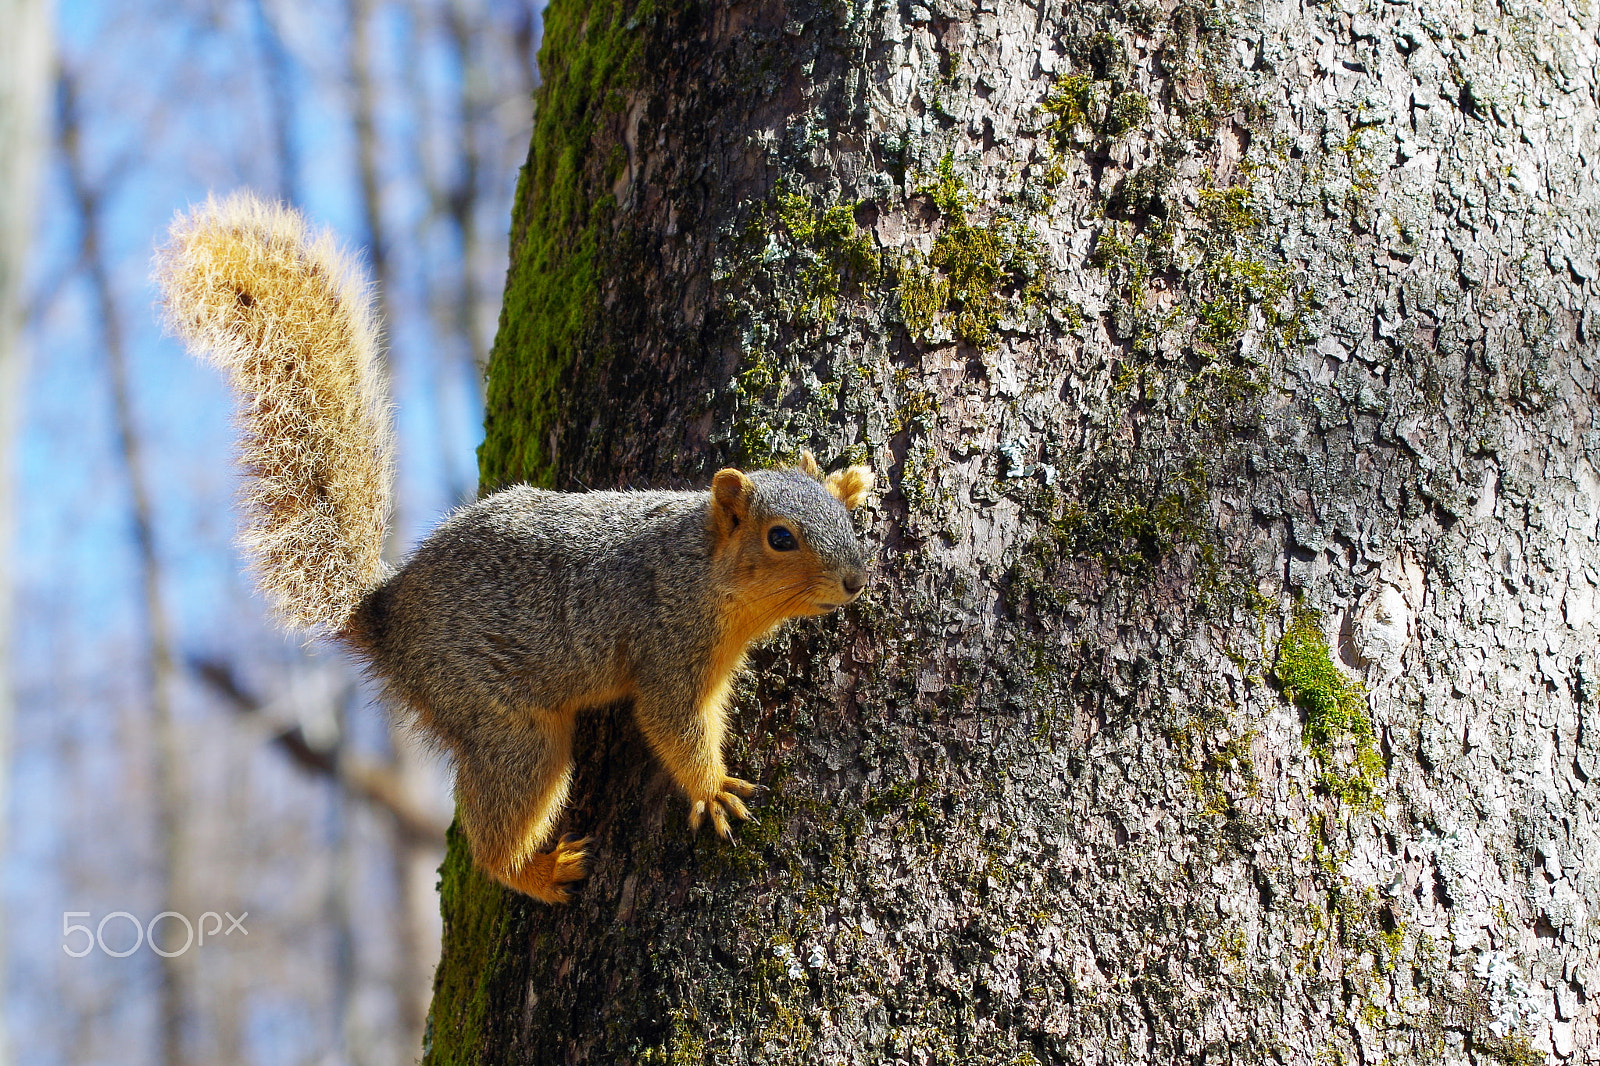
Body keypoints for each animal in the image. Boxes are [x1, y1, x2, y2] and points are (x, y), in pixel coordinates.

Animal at [152, 188, 876, 896]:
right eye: (780, 538)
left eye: (842, 521)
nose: (856, 581)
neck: (700, 567)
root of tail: (386, 615)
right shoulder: (670, 645)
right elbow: (673, 724)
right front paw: (714, 789)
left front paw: (850, 476)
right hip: (509, 723)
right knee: (496, 831)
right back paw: (540, 871)